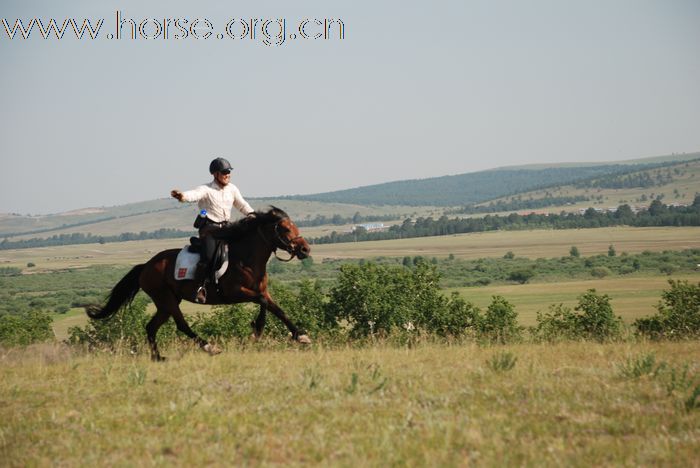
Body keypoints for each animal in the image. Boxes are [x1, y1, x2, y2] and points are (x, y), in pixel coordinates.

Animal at [83, 207, 310, 360]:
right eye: (284, 229)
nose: (305, 249)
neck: (246, 258)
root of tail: (146, 265)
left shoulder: (261, 290)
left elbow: (275, 308)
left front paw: (298, 335)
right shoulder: (236, 292)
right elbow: (264, 303)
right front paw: (259, 331)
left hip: (166, 302)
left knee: (151, 327)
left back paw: (158, 357)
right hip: (165, 298)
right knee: (181, 325)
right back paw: (210, 347)